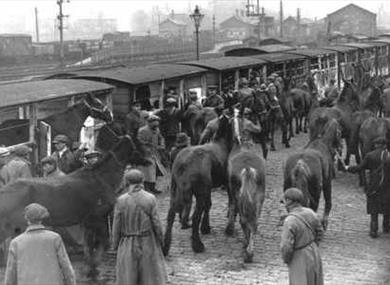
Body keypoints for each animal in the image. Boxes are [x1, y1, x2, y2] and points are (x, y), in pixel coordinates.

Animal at [0, 135, 147, 280]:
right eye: (138, 144)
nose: (148, 160)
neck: (101, 179)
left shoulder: (87, 222)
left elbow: (89, 245)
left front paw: (90, 270)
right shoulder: (98, 218)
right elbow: (103, 242)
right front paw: (94, 269)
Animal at [163, 114, 233, 254]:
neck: (220, 142)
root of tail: (184, 164)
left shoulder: (209, 188)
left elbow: (209, 204)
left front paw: (205, 227)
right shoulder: (223, 184)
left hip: (176, 188)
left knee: (171, 214)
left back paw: (165, 246)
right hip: (200, 191)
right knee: (195, 216)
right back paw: (197, 245)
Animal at [224, 117, 266, 262]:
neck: (242, 143)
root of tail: (248, 169)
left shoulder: (230, 190)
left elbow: (231, 206)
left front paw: (229, 228)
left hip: (238, 194)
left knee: (244, 220)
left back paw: (247, 249)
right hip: (259, 196)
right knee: (254, 221)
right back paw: (250, 250)